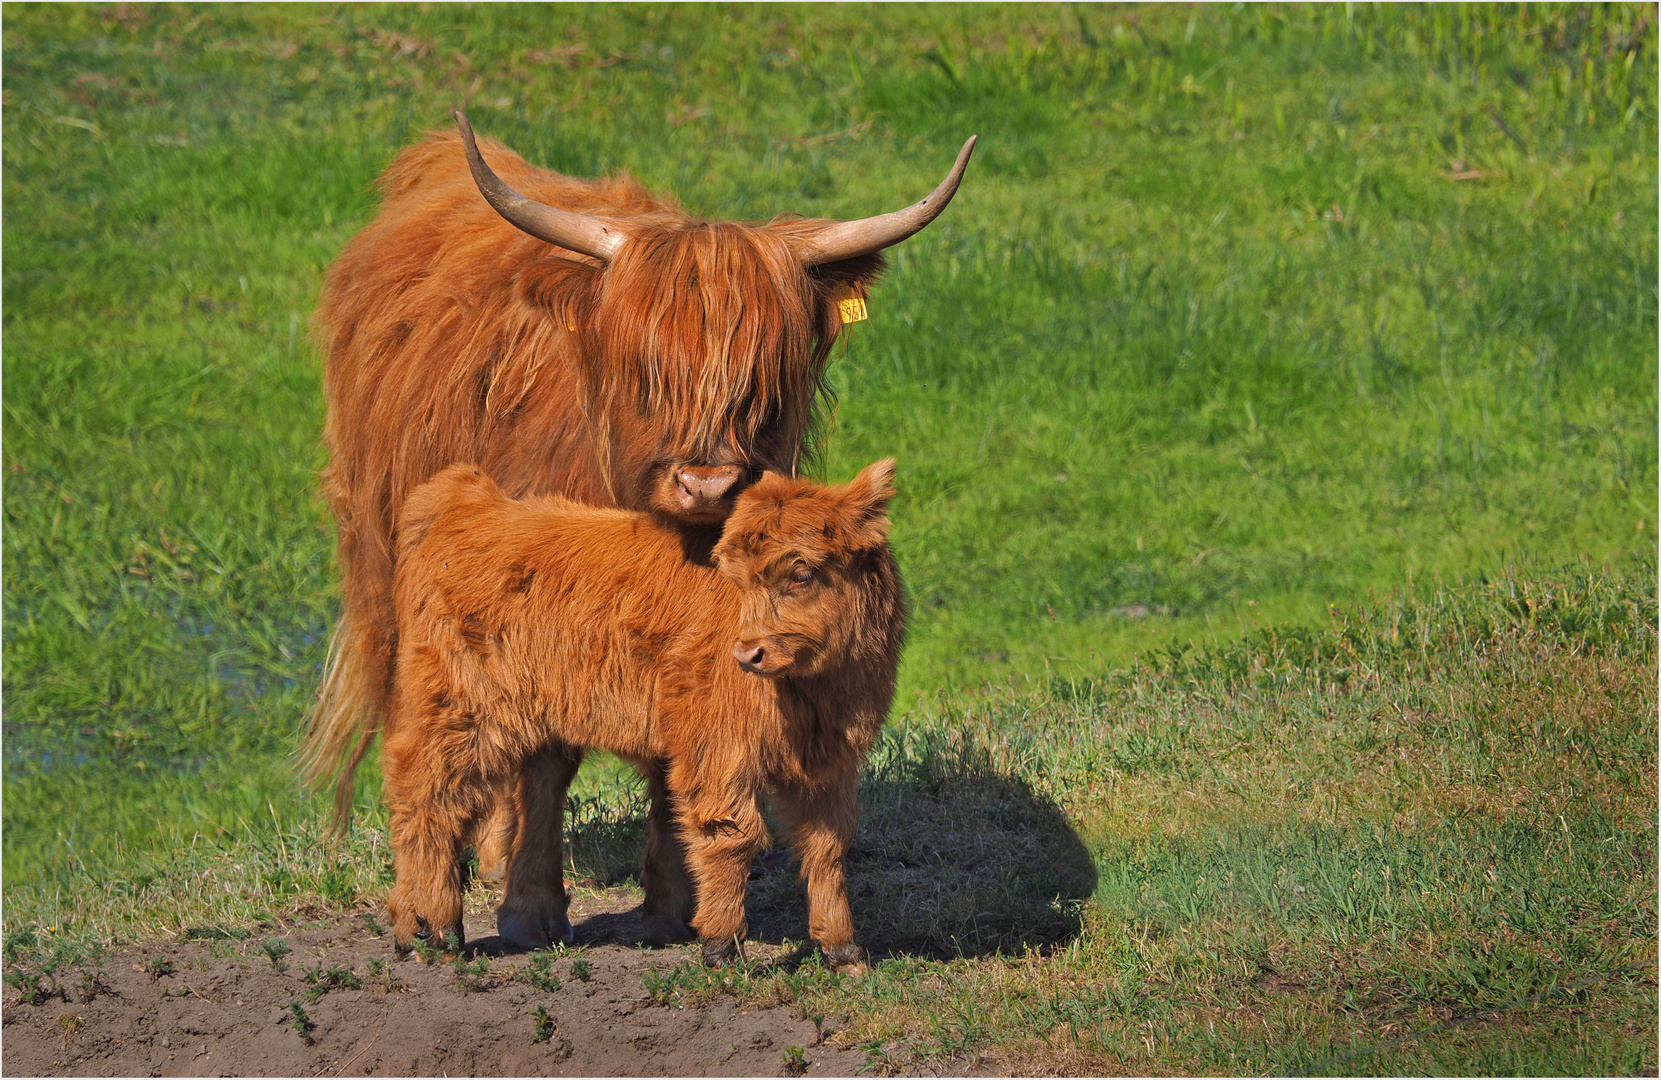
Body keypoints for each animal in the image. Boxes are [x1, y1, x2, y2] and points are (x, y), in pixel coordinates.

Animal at [380, 455, 903, 970]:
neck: (819, 695)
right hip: (458, 715)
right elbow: (730, 836)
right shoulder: (718, 751)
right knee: (427, 801)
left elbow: (828, 847)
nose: (747, 653)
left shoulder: (831, 763)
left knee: (519, 791)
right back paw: (435, 929)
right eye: (738, 578)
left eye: (801, 573)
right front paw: (722, 948)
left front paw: (843, 951)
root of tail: (466, 501)